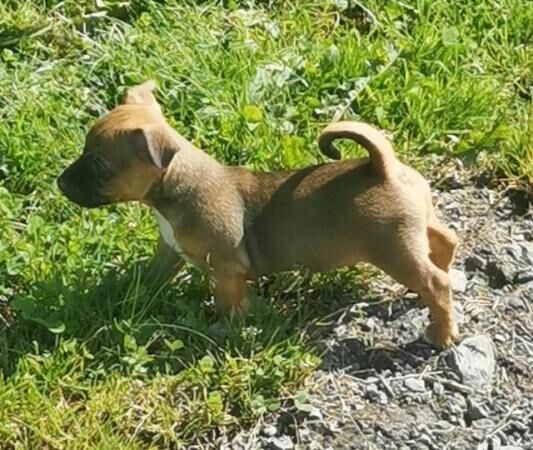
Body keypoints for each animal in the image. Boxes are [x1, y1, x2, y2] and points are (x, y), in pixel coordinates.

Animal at [57, 81, 458, 348]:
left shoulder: (226, 271)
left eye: (99, 164)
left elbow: (228, 305)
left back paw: (441, 334)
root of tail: (382, 166)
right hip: (416, 229)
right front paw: (125, 292)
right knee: (446, 241)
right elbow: (153, 275)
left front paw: (226, 330)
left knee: (436, 282)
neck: (173, 186)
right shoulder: (169, 251)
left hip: (392, 249)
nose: (60, 183)